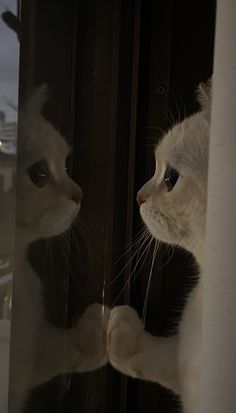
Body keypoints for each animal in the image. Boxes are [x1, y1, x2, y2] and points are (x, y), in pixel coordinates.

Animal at [8, 85, 109, 410]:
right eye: (39, 173)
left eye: (65, 164)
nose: (79, 194)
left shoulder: (28, 360)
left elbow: (59, 349)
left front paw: (96, 332)